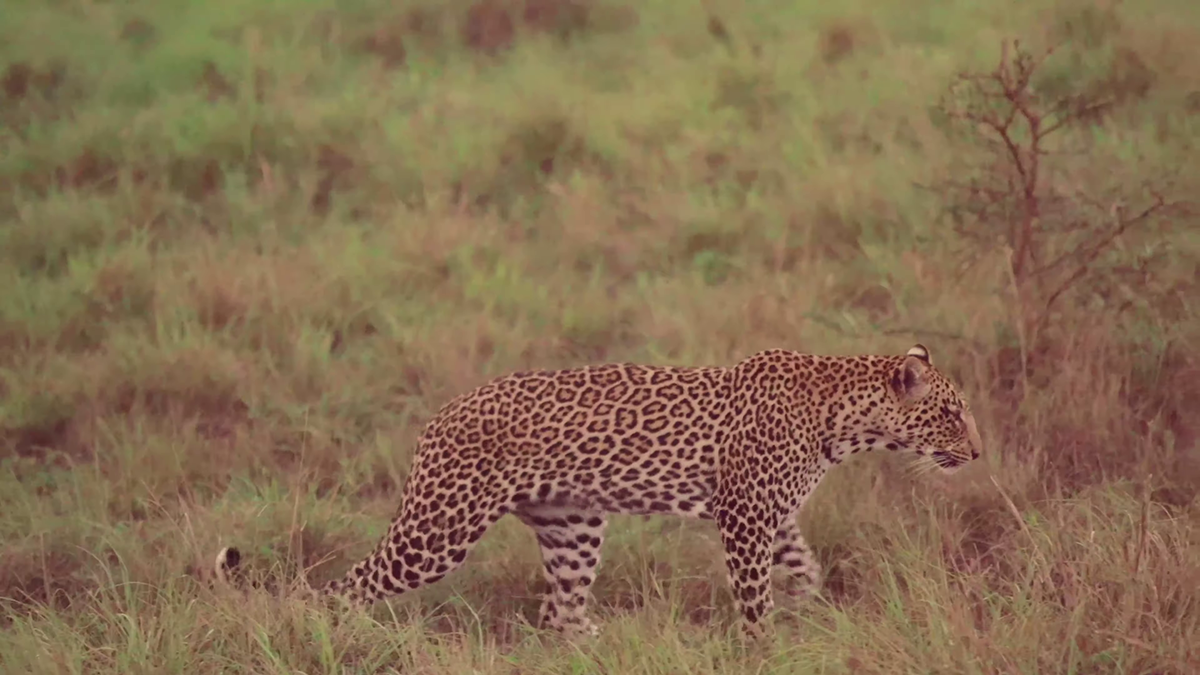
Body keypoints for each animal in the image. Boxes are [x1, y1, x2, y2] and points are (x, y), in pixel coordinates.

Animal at [216, 341, 984, 634]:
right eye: (951, 412)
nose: (979, 451)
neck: (843, 420)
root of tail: (440, 413)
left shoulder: (770, 513)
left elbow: (804, 564)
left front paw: (806, 602)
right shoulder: (742, 514)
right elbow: (753, 593)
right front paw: (764, 640)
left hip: (574, 525)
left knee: (561, 614)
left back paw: (598, 639)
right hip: (438, 531)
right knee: (347, 586)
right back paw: (326, 628)